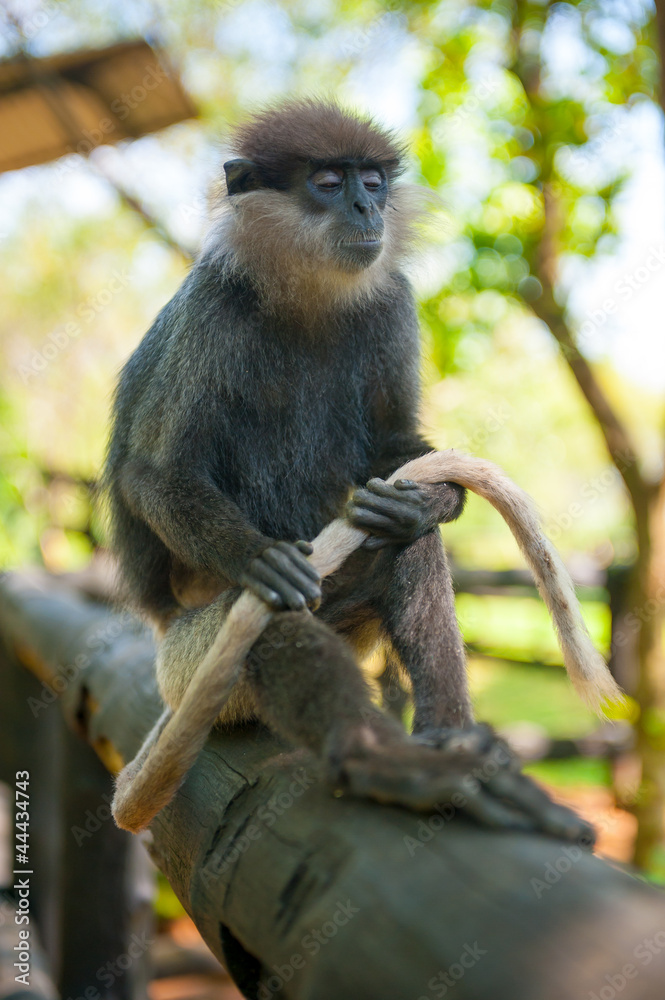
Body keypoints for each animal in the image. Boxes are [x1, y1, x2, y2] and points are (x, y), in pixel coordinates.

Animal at [105, 100, 620, 836]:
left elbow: (394, 447)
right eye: (328, 182)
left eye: (372, 182)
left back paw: (448, 739)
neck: (306, 294)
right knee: (268, 617)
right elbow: (153, 475)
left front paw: (427, 503)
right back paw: (384, 761)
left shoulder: (392, 301)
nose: (364, 207)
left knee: (405, 549)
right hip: (186, 663)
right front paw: (256, 556)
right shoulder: (211, 307)